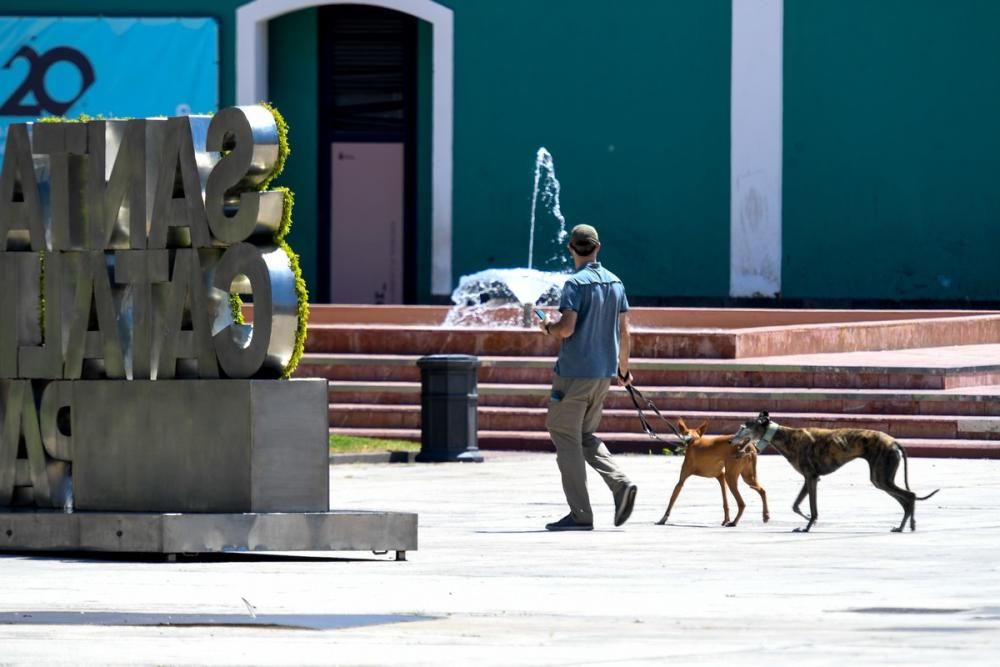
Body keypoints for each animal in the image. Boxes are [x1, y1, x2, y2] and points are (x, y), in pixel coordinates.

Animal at [736, 410, 936, 536]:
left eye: (743, 427)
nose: (731, 441)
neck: (787, 436)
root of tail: (894, 441)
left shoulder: (811, 478)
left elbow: (812, 508)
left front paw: (808, 525)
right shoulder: (810, 478)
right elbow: (796, 505)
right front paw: (807, 522)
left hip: (881, 477)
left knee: (910, 495)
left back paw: (907, 526)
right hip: (881, 478)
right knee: (907, 499)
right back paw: (905, 526)